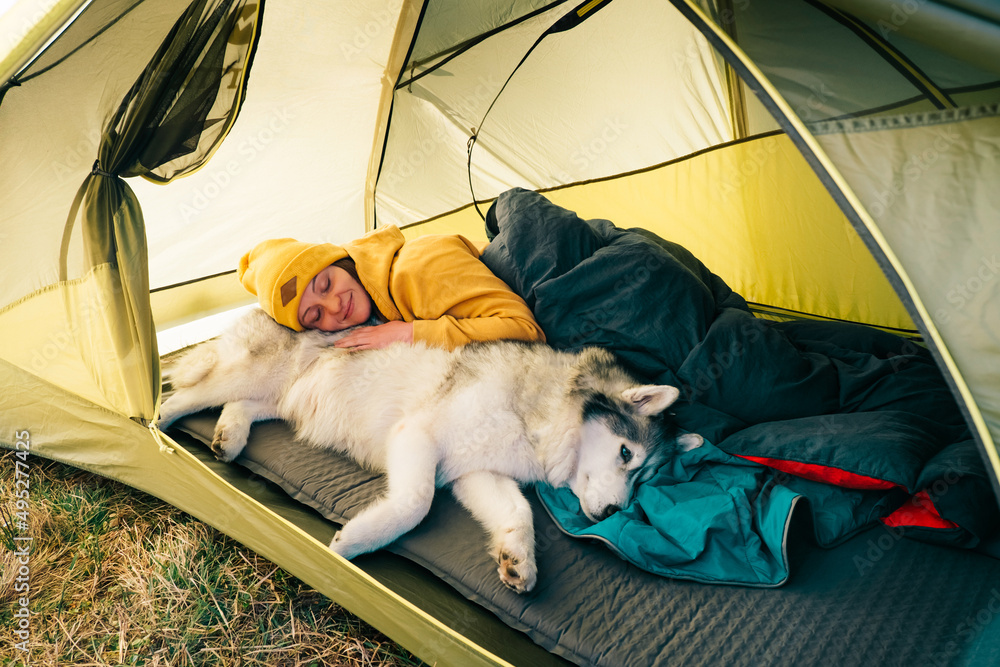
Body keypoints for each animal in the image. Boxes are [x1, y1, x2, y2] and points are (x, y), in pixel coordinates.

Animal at [158, 308, 704, 596]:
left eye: (643, 480)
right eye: (627, 455)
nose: (614, 511)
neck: (537, 413)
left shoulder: (477, 473)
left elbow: (519, 514)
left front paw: (519, 559)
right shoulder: (416, 435)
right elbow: (416, 503)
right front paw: (356, 542)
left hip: (280, 397)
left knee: (241, 405)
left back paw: (230, 435)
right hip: (248, 375)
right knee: (179, 398)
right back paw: (154, 428)